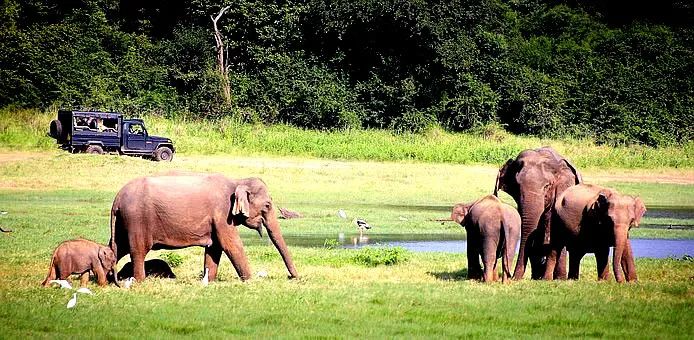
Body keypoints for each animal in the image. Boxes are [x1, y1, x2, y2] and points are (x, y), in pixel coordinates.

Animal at [107, 173, 298, 282]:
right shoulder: (222, 213)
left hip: (124, 223)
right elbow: (231, 245)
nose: (292, 277)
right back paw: (140, 281)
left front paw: (209, 281)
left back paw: (109, 280)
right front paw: (250, 281)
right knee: (138, 250)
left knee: (117, 248)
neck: (237, 181)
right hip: (137, 220)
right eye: (267, 205)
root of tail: (117, 199)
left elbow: (214, 248)